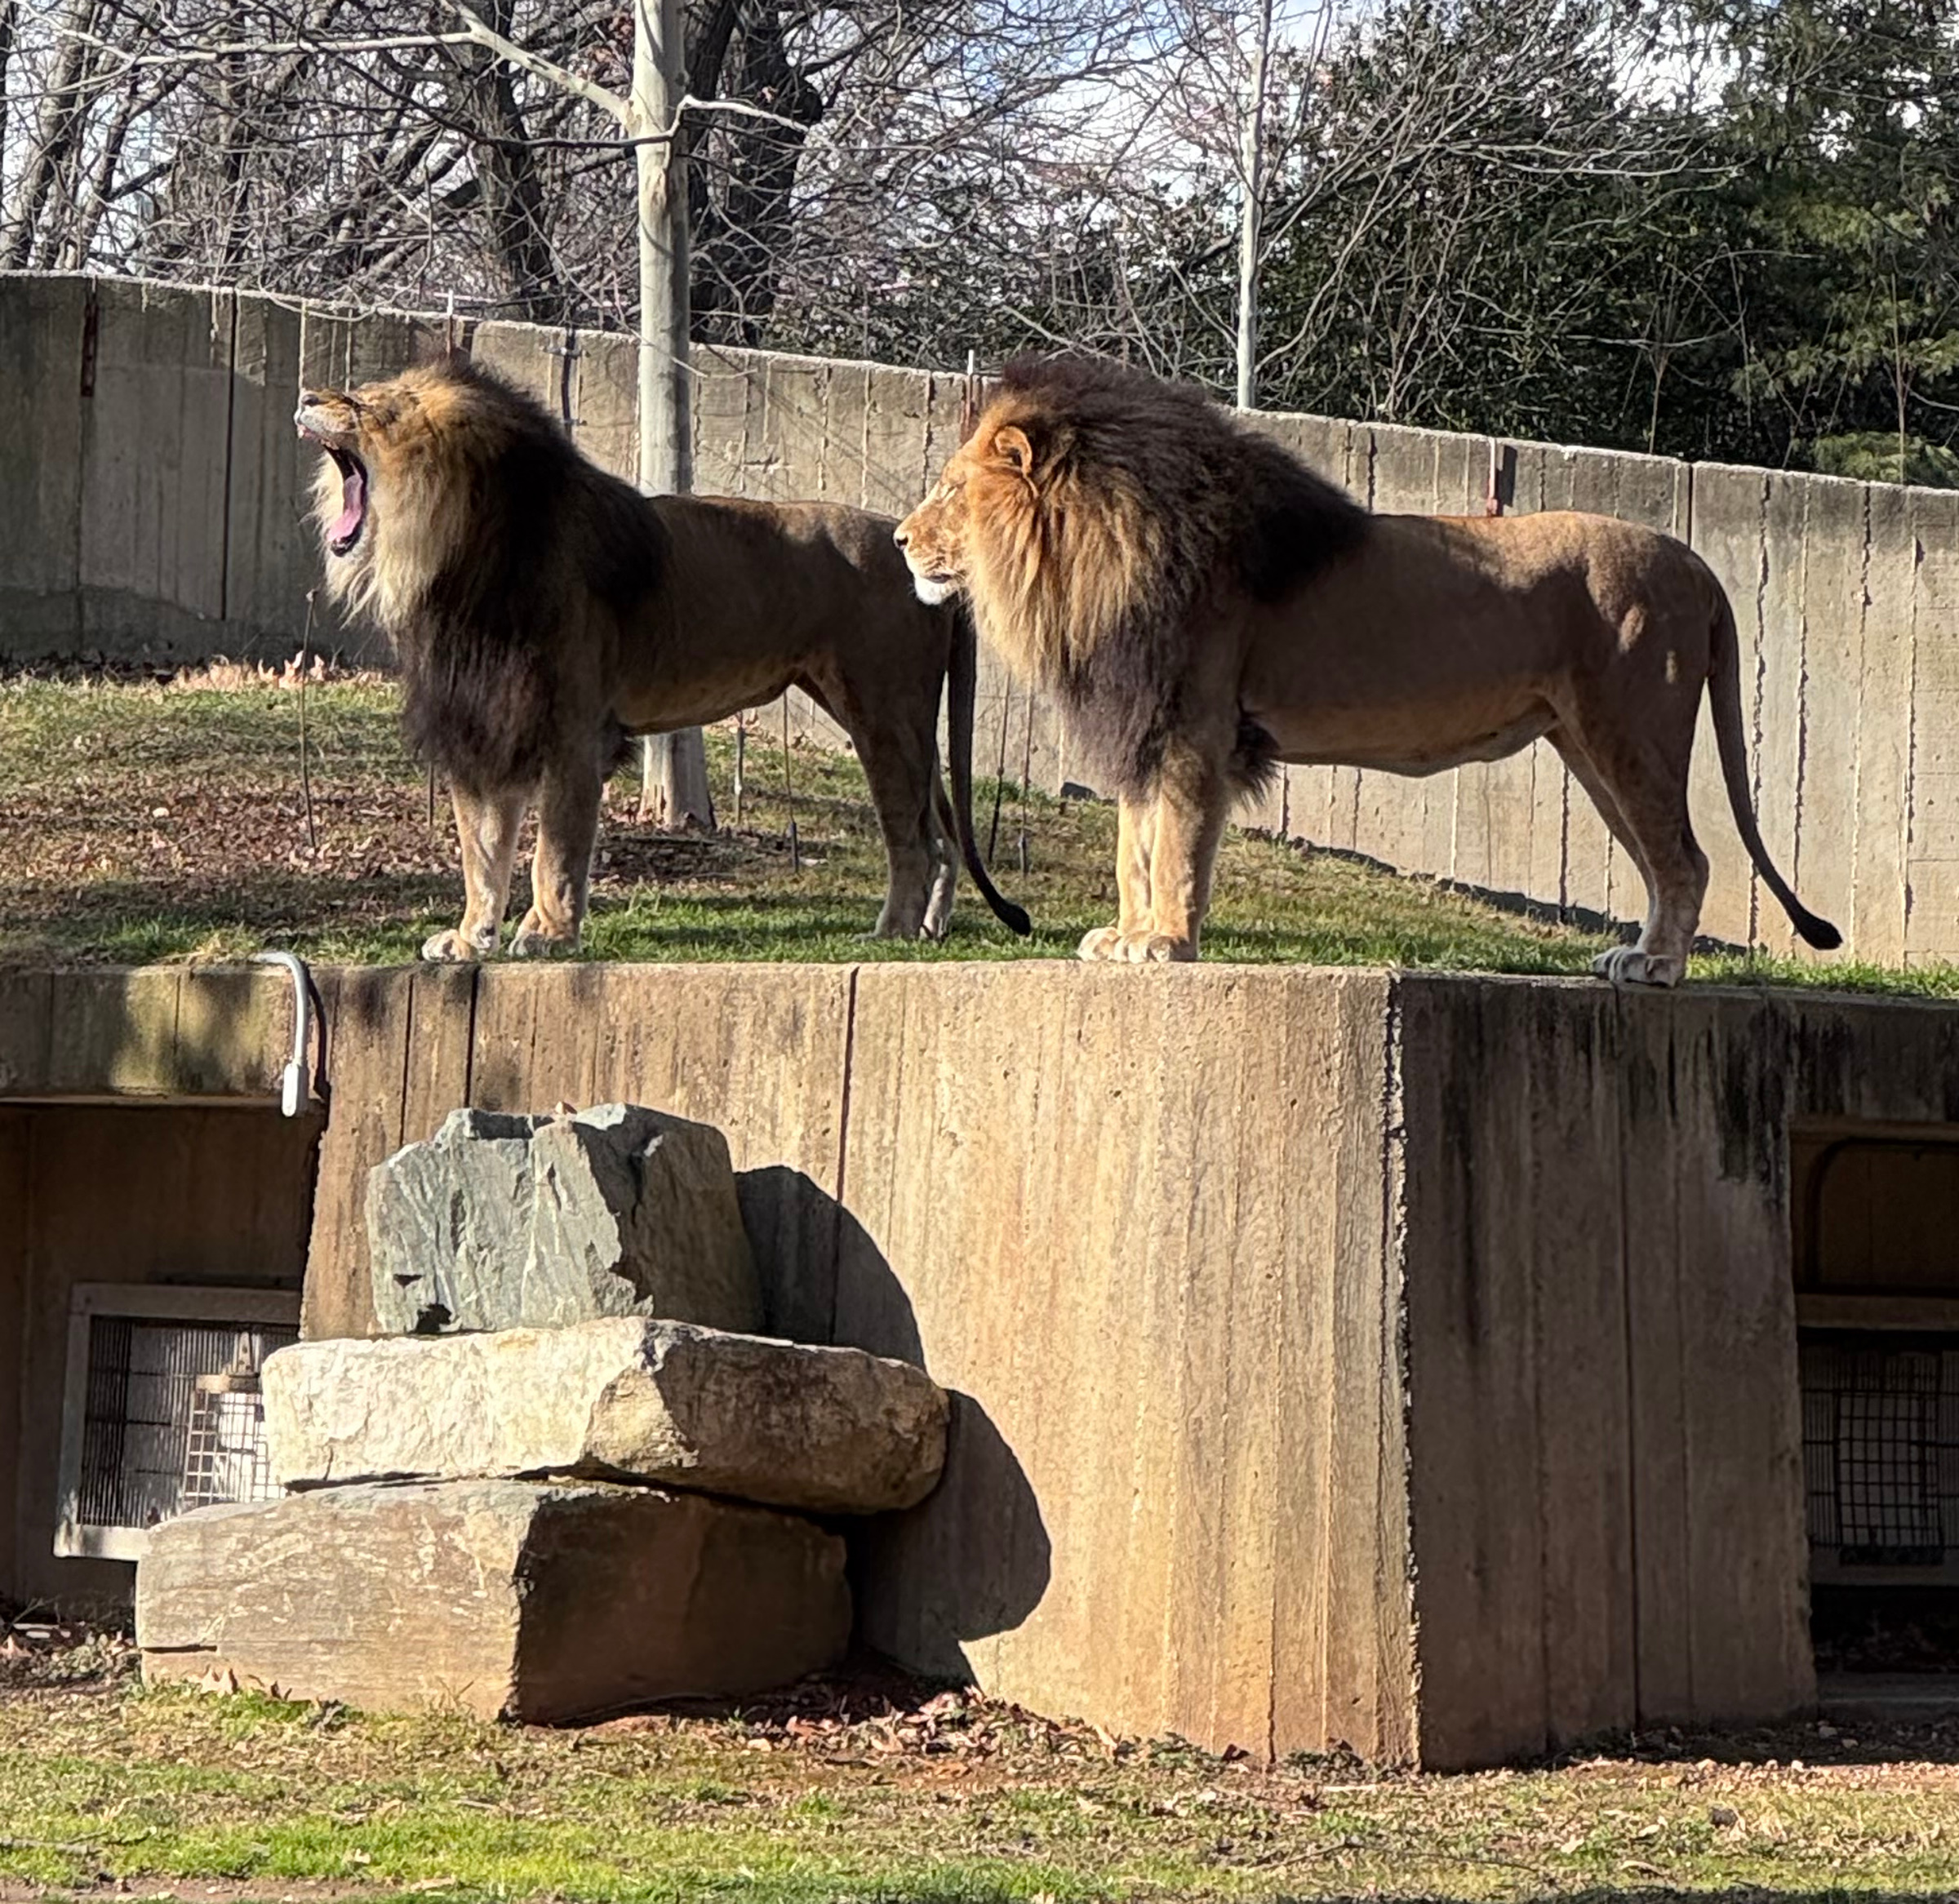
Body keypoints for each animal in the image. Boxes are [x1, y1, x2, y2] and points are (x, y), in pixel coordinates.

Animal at [296, 353, 1028, 959]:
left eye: (372, 404)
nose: (305, 394)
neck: (456, 564)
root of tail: (920, 552)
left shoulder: (573, 730)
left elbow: (554, 848)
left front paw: (547, 934)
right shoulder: (484, 723)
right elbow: (481, 848)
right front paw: (470, 937)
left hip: (882, 712)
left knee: (915, 837)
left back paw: (892, 931)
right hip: (900, 719)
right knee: (940, 832)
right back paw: (929, 928)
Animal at [895, 354, 1838, 986]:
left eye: (949, 490)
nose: (901, 539)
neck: (1093, 556)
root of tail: (1697, 563)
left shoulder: (1197, 727)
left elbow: (1176, 846)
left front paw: (1167, 943)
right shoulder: (1145, 723)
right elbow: (1136, 844)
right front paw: (1125, 938)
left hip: (1632, 732)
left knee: (1688, 858)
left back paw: (1659, 966)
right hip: (1590, 746)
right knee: (1660, 858)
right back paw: (1635, 953)